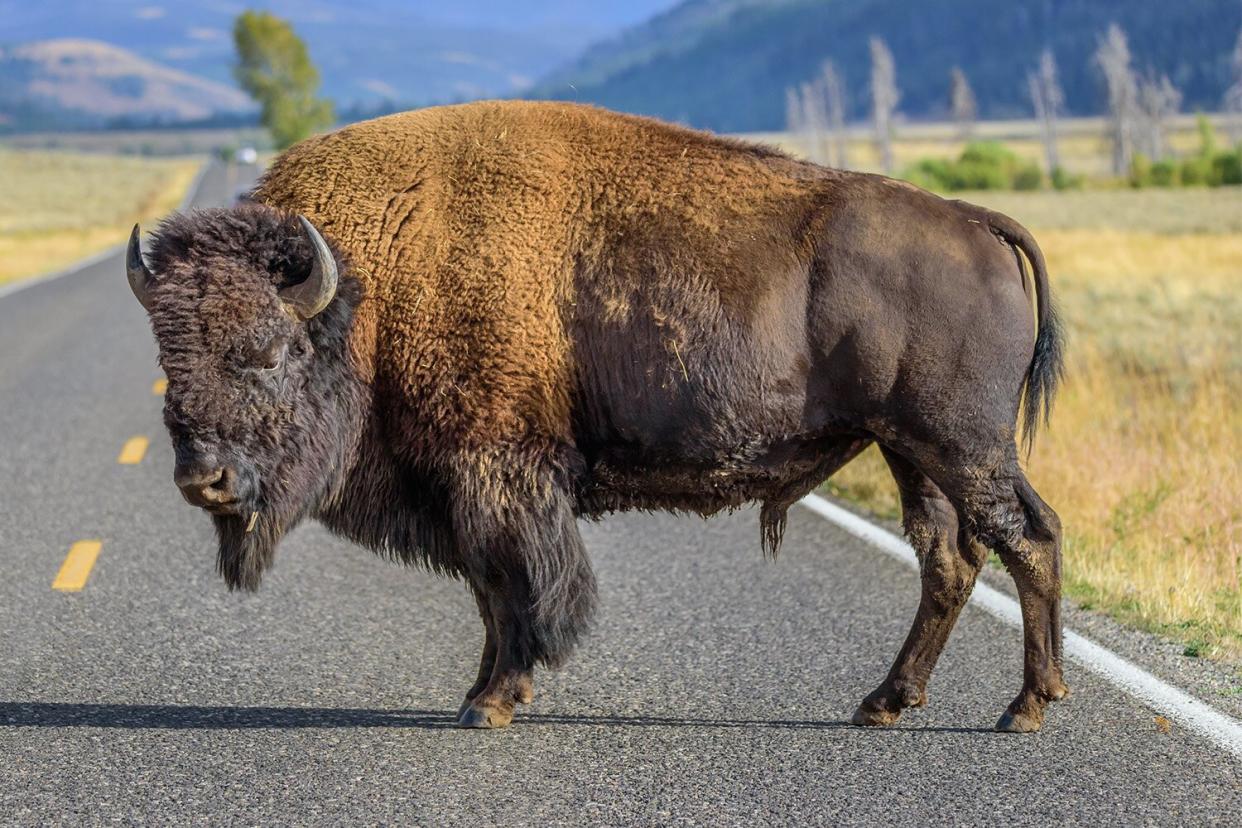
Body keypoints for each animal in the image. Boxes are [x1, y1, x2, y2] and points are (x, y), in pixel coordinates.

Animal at [126, 101, 1068, 729]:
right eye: (169, 359)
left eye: (269, 351)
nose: (203, 479)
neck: (373, 278)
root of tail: (975, 220)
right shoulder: (465, 485)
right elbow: (490, 591)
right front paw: (481, 694)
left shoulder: (497, 472)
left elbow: (519, 585)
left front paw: (493, 702)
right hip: (911, 450)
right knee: (950, 558)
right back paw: (886, 702)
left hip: (959, 445)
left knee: (1026, 537)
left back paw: (1026, 707)